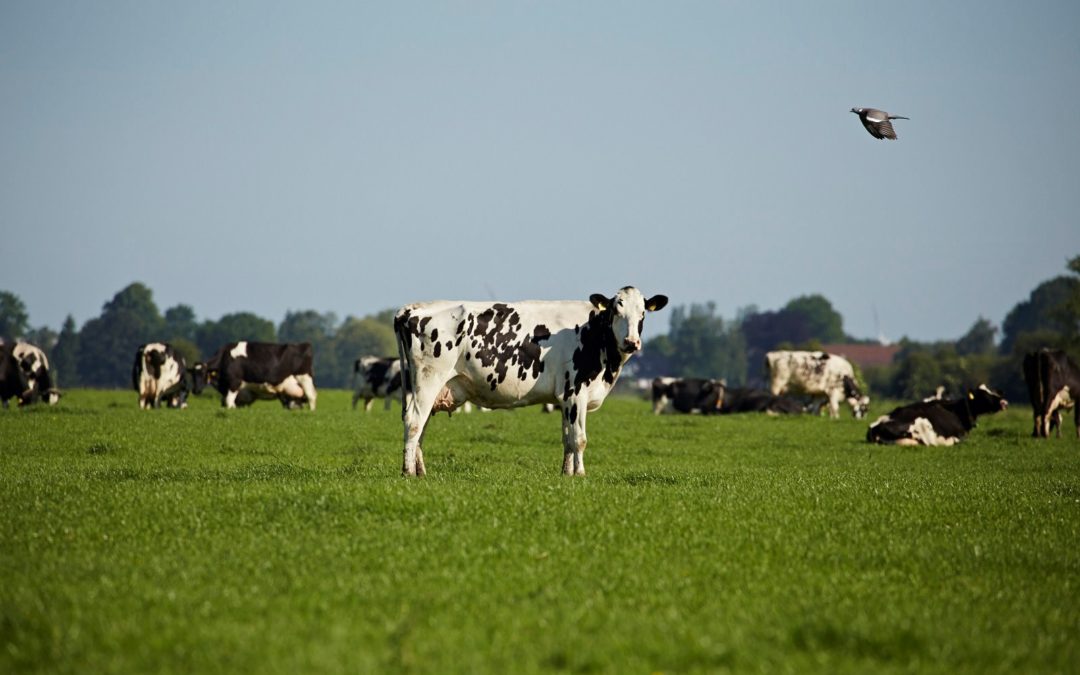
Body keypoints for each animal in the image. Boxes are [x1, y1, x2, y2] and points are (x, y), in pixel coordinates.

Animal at [395, 287, 665, 477]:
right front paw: (580, 474)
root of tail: (413, 308)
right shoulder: (576, 392)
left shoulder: (565, 398)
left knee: (421, 426)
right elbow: (579, 438)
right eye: (616, 311)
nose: (631, 342)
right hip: (428, 379)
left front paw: (566, 474)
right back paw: (407, 472)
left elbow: (567, 439)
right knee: (414, 422)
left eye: (642, 314)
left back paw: (420, 471)